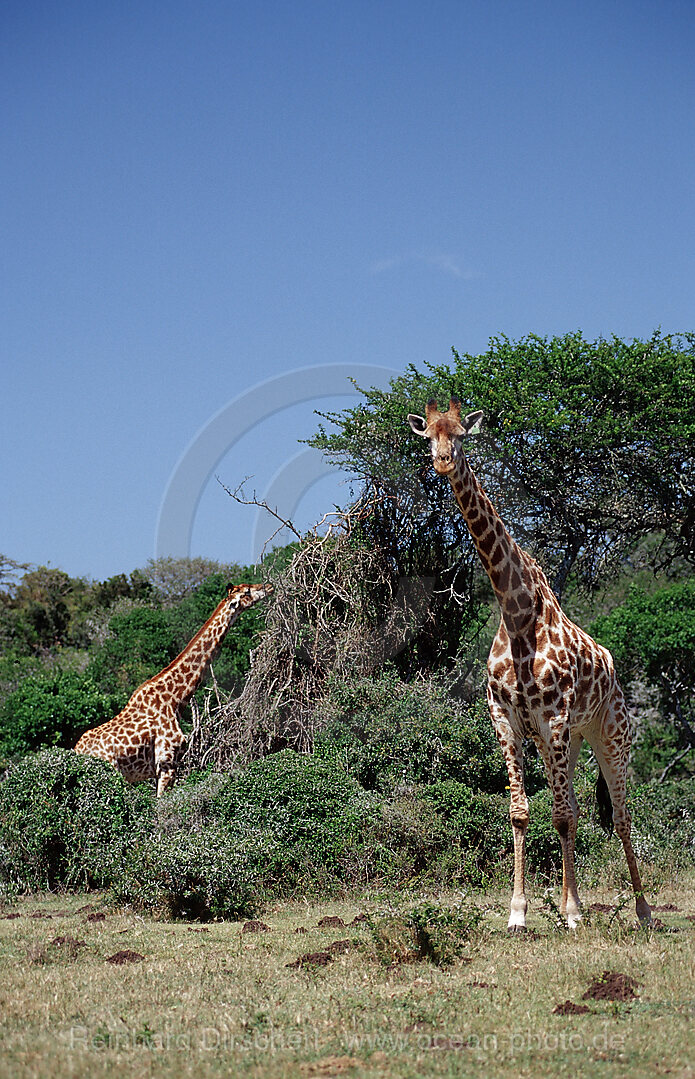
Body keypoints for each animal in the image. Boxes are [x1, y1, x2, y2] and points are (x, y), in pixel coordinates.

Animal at [75, 582, 271, 794]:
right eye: (247, 591)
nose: (268, 586)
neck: (175, 698)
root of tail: (76, 752)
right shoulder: (167, 763)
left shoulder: (159, 770)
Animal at [407, 401, 651, 932]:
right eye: (429, 435)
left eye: (462, 435)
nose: (442, 462)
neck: (516, 612)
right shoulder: (508, 718)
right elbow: (521, 812)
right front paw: (519, 912)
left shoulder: (555, 714)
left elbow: (559, 815)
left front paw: (570, 914)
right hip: (565, 740)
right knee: (578, 804)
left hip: (610, 735)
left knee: (619, 815)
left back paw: (642, 911)